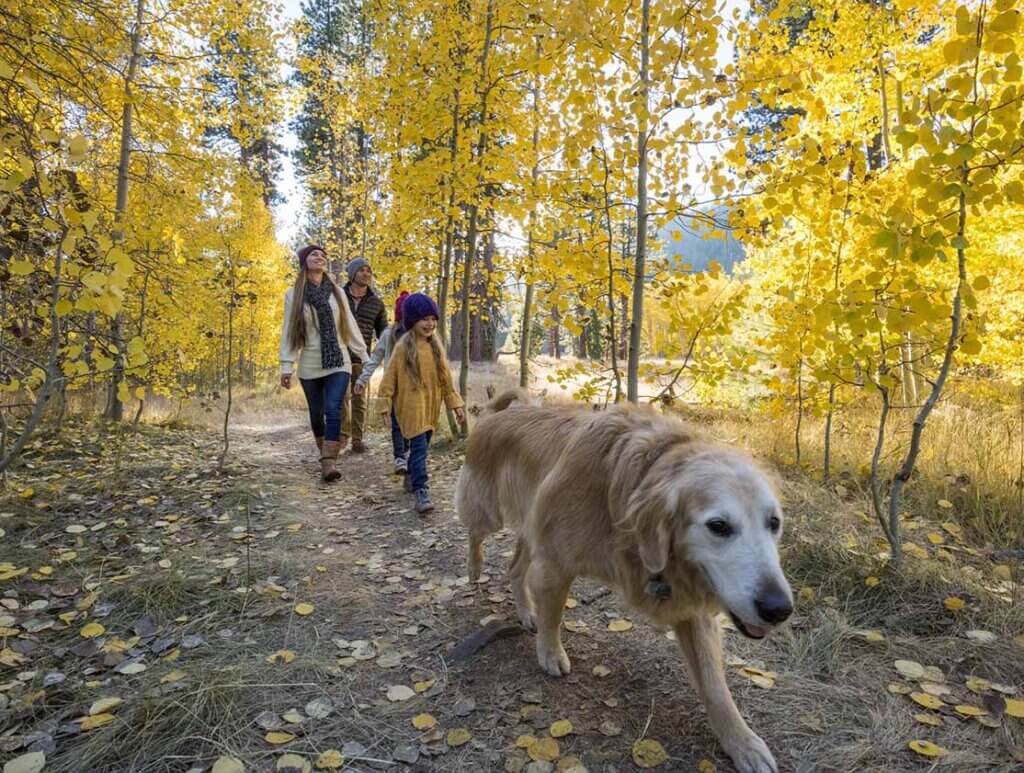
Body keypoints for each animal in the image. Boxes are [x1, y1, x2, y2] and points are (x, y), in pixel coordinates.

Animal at [456, 393, 790, 773]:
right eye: (718, 526)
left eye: (774, 523)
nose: (779, 608)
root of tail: (497, 414)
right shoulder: (556, 563)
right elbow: (553, 615)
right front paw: (550, 652)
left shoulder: (691, 608)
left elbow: (714, 685)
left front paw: (741, 741)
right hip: (490, 513)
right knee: (475, 533)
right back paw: (474, 567)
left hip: (531, 525)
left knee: (514, 568)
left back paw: (526, 612)